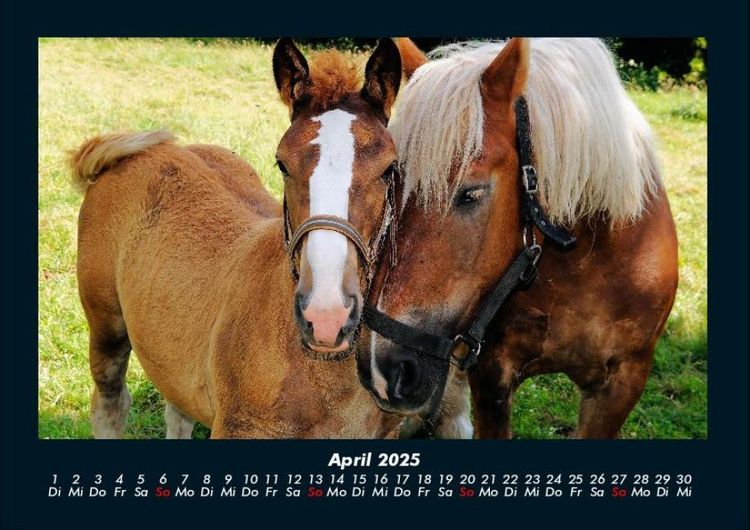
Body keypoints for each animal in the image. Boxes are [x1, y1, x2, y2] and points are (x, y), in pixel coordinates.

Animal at [72, 38, 403, 438]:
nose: (327, 314)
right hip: (105, 324)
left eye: (389, 168)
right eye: (282, 163)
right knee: (110, 402)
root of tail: (133, 153)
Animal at [358, 38, 678, 439]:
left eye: (471, 194)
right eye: (390, 183)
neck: (583, 262)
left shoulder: (622, 384)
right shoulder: (491, 376)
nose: (380, 369)